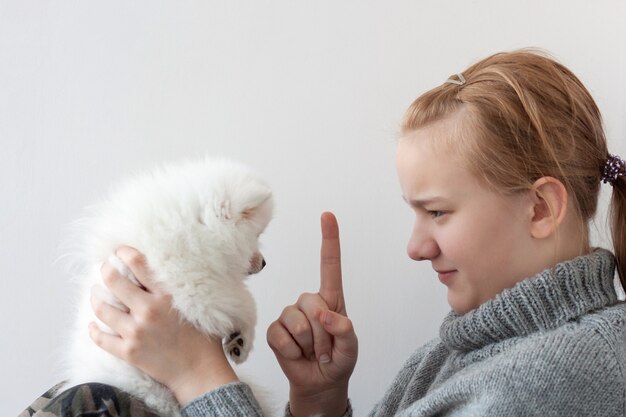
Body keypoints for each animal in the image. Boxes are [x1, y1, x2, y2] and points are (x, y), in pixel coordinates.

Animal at [59, 157, 272, 416]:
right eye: (257, 235)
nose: (264, 263)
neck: (196, 225)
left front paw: (240, 340)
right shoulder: (192, 286)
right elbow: (245, 302)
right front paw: (243, 337)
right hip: (150, 389)